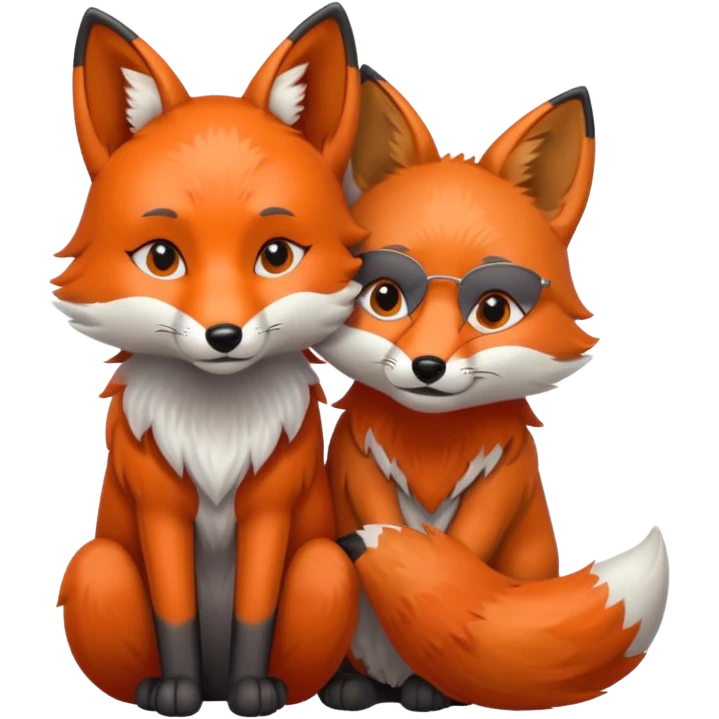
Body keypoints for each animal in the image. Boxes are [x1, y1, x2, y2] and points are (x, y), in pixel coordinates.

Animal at [51, 4, 368, 717]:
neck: (216, 433)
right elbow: (176, 615)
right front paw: (179, 690)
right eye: (162, 258)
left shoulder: (270, 508)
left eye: (275, 255)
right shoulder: (159, 508)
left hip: (326, 565)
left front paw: (254, 691)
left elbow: (255, 612)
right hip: (98, 566)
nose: (224, 335)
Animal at [312, 68, 672, 712]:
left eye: (493, 310)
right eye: (386, 297)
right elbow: (376, 509)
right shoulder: (354, 459)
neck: (432, 438)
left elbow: (465, 549)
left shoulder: (505, 473)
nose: (427, 367)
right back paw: (353, 686)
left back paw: (430, 690)